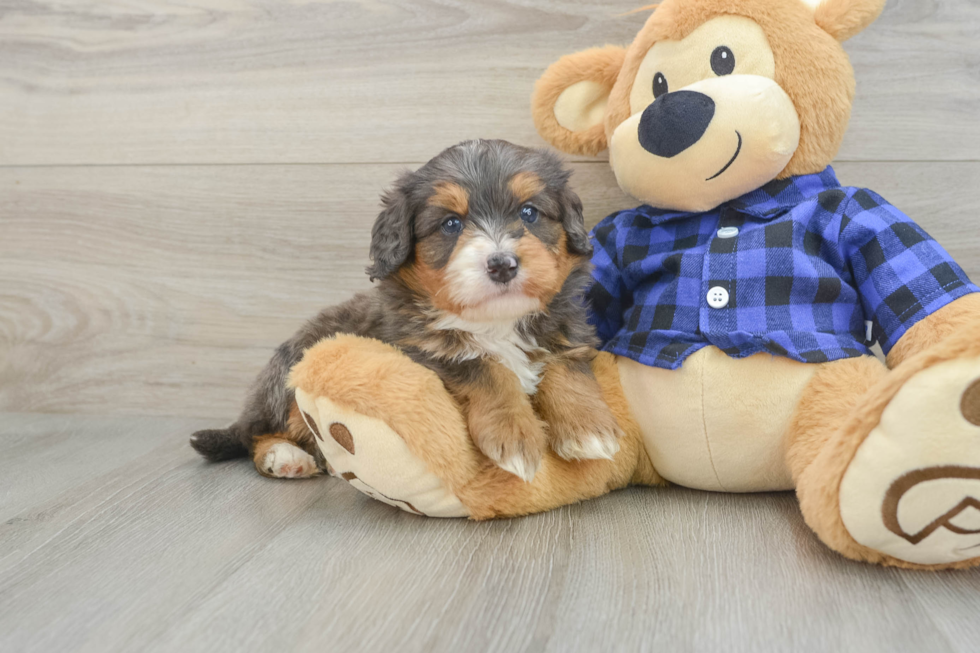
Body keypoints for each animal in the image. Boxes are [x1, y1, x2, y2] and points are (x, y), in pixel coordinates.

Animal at [191, 140, 620, 482]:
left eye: (529, 213)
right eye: (450, 224)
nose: (502, 264)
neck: (496, 321)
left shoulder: (567, 329)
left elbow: (564, 366)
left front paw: (589, 429)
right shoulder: (421, 350)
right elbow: (486, 368)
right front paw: (514, 434)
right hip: (291, 369)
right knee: (257, 434)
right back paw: (285, 457)